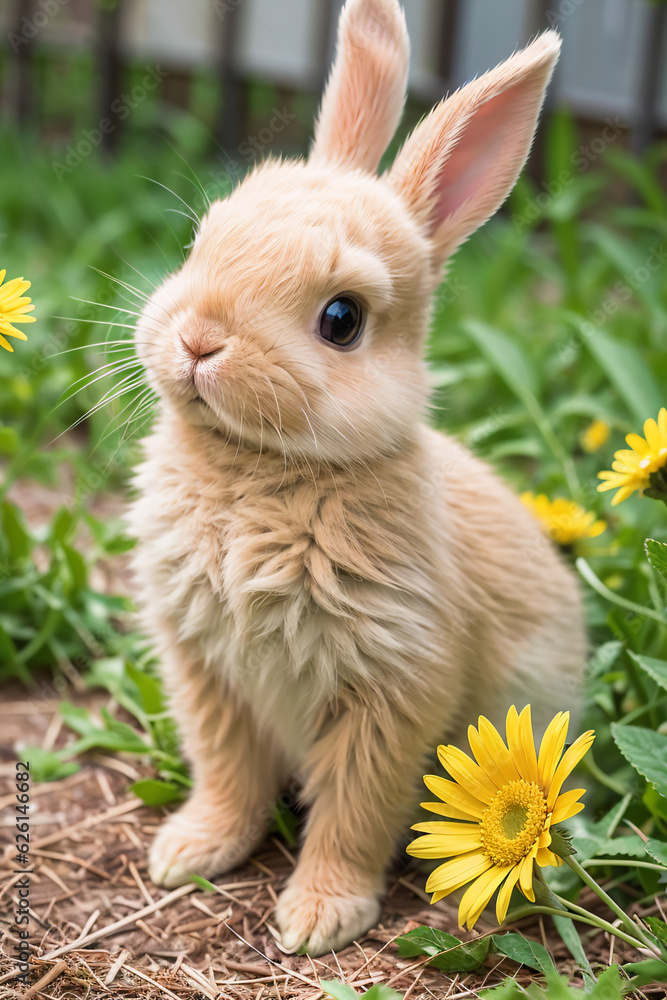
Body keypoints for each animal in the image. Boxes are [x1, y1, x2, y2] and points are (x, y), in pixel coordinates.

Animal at [127, 0, 585, 957]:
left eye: (341, 320)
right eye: (200, 242)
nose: (198, 341)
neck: (262, 470)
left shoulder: (393, 691)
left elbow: (354, 811)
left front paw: (318, 919)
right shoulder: (207, 674)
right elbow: (227, 773)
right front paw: (191, 850)